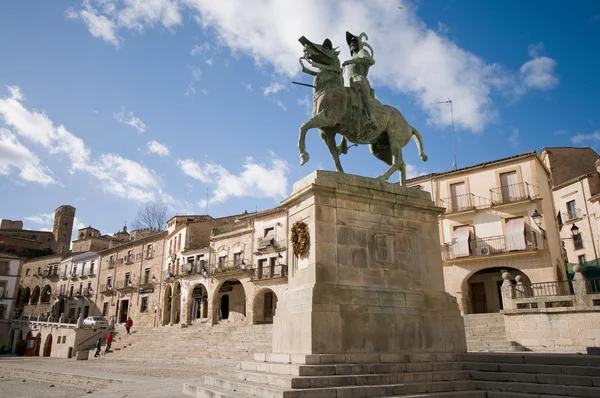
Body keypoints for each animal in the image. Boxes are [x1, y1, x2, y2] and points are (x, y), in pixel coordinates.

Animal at [296, 35, 426, 184]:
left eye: (327, 46)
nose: (306, 48)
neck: (330, 88)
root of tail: (408, 125)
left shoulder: (329, 118)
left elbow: (304, 126)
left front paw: (303, 156)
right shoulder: (326, 132)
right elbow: (334, 154)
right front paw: (340, 173)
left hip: (395, 140)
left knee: (398, 162)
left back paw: (382, 178)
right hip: (379, 148)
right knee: (401, 164)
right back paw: (402, 186)